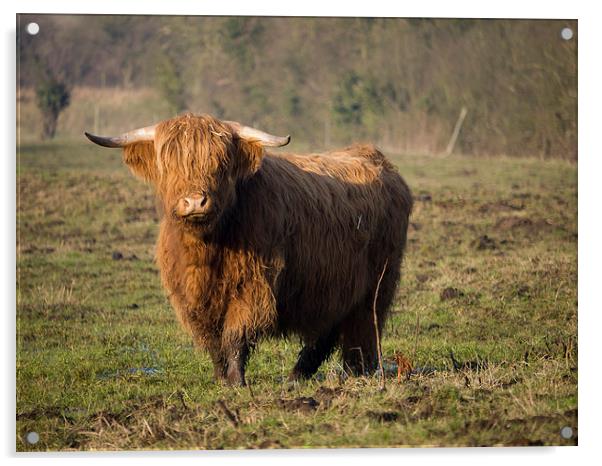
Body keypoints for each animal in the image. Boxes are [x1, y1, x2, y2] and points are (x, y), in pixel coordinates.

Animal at [85, 113, 412, 386]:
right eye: (170, 165)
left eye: (219, 164)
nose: (195, 201)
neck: (208, 247)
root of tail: (376, 158)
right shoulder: (193, 296)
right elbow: (213, 340)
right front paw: (221, 378)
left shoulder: (253, 285)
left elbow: (235, 334)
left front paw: (235, 381)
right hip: (332, 287)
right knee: (327, 331)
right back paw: (298, 375)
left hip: (377, 283)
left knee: (363, 326)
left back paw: (355, 371)